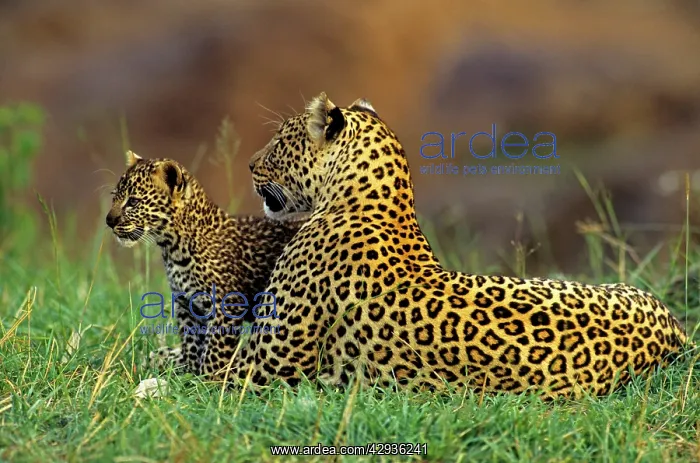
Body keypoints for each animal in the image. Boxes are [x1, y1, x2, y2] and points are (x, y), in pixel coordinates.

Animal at [106, 150, 304, 376]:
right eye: (114, 197)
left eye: (133, 201)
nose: (109, 221)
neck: (174, 248)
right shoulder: (186, 303)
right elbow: (191, 341)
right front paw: (189, 370)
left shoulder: (227, 305)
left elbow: (215, 349)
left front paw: (210, 377)